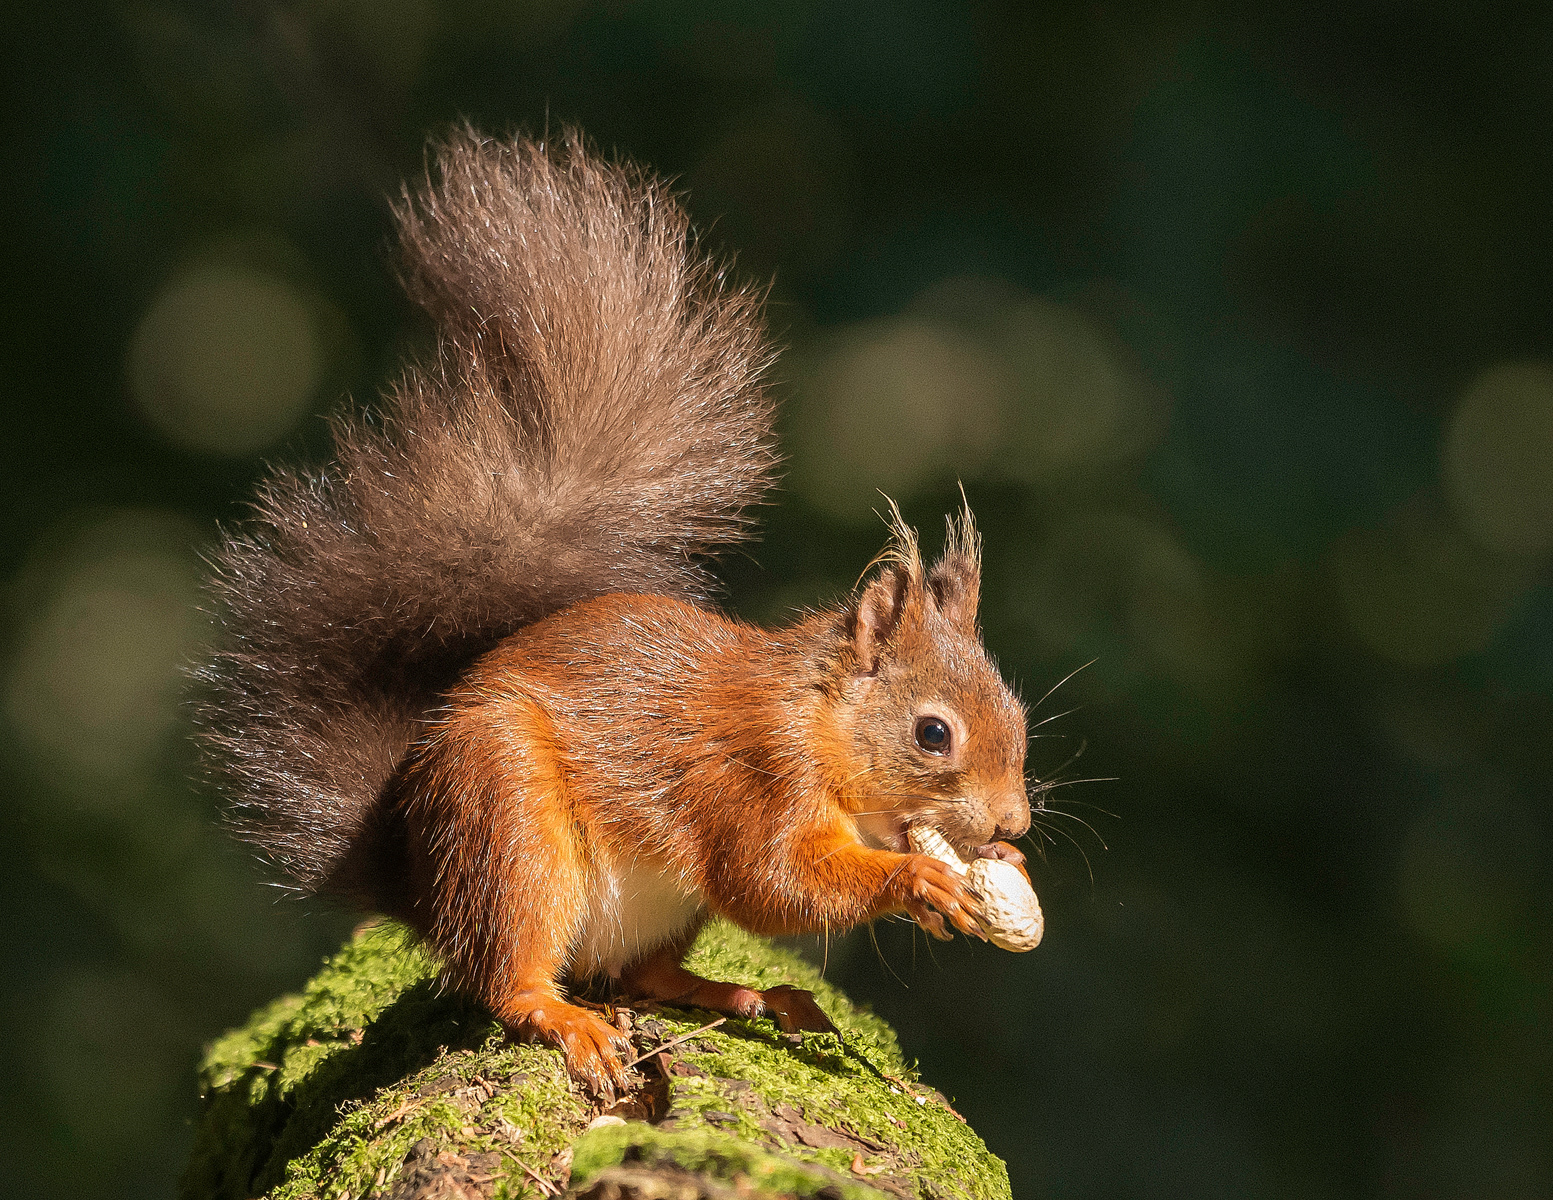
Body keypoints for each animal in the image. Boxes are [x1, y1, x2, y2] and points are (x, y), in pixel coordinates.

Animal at [196, 128, 1033, 1096]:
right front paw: (915, 881)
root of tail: (422, 880)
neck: (816, 720)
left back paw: (747, 995)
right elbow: (769, 881)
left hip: (654, 904)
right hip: (508, 820)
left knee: (643, 974)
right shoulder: (750, 777)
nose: (1011, 825)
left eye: (1015, 717)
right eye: (933, 734)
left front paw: (990, 869)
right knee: (507, 978)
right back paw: (568, 1018)